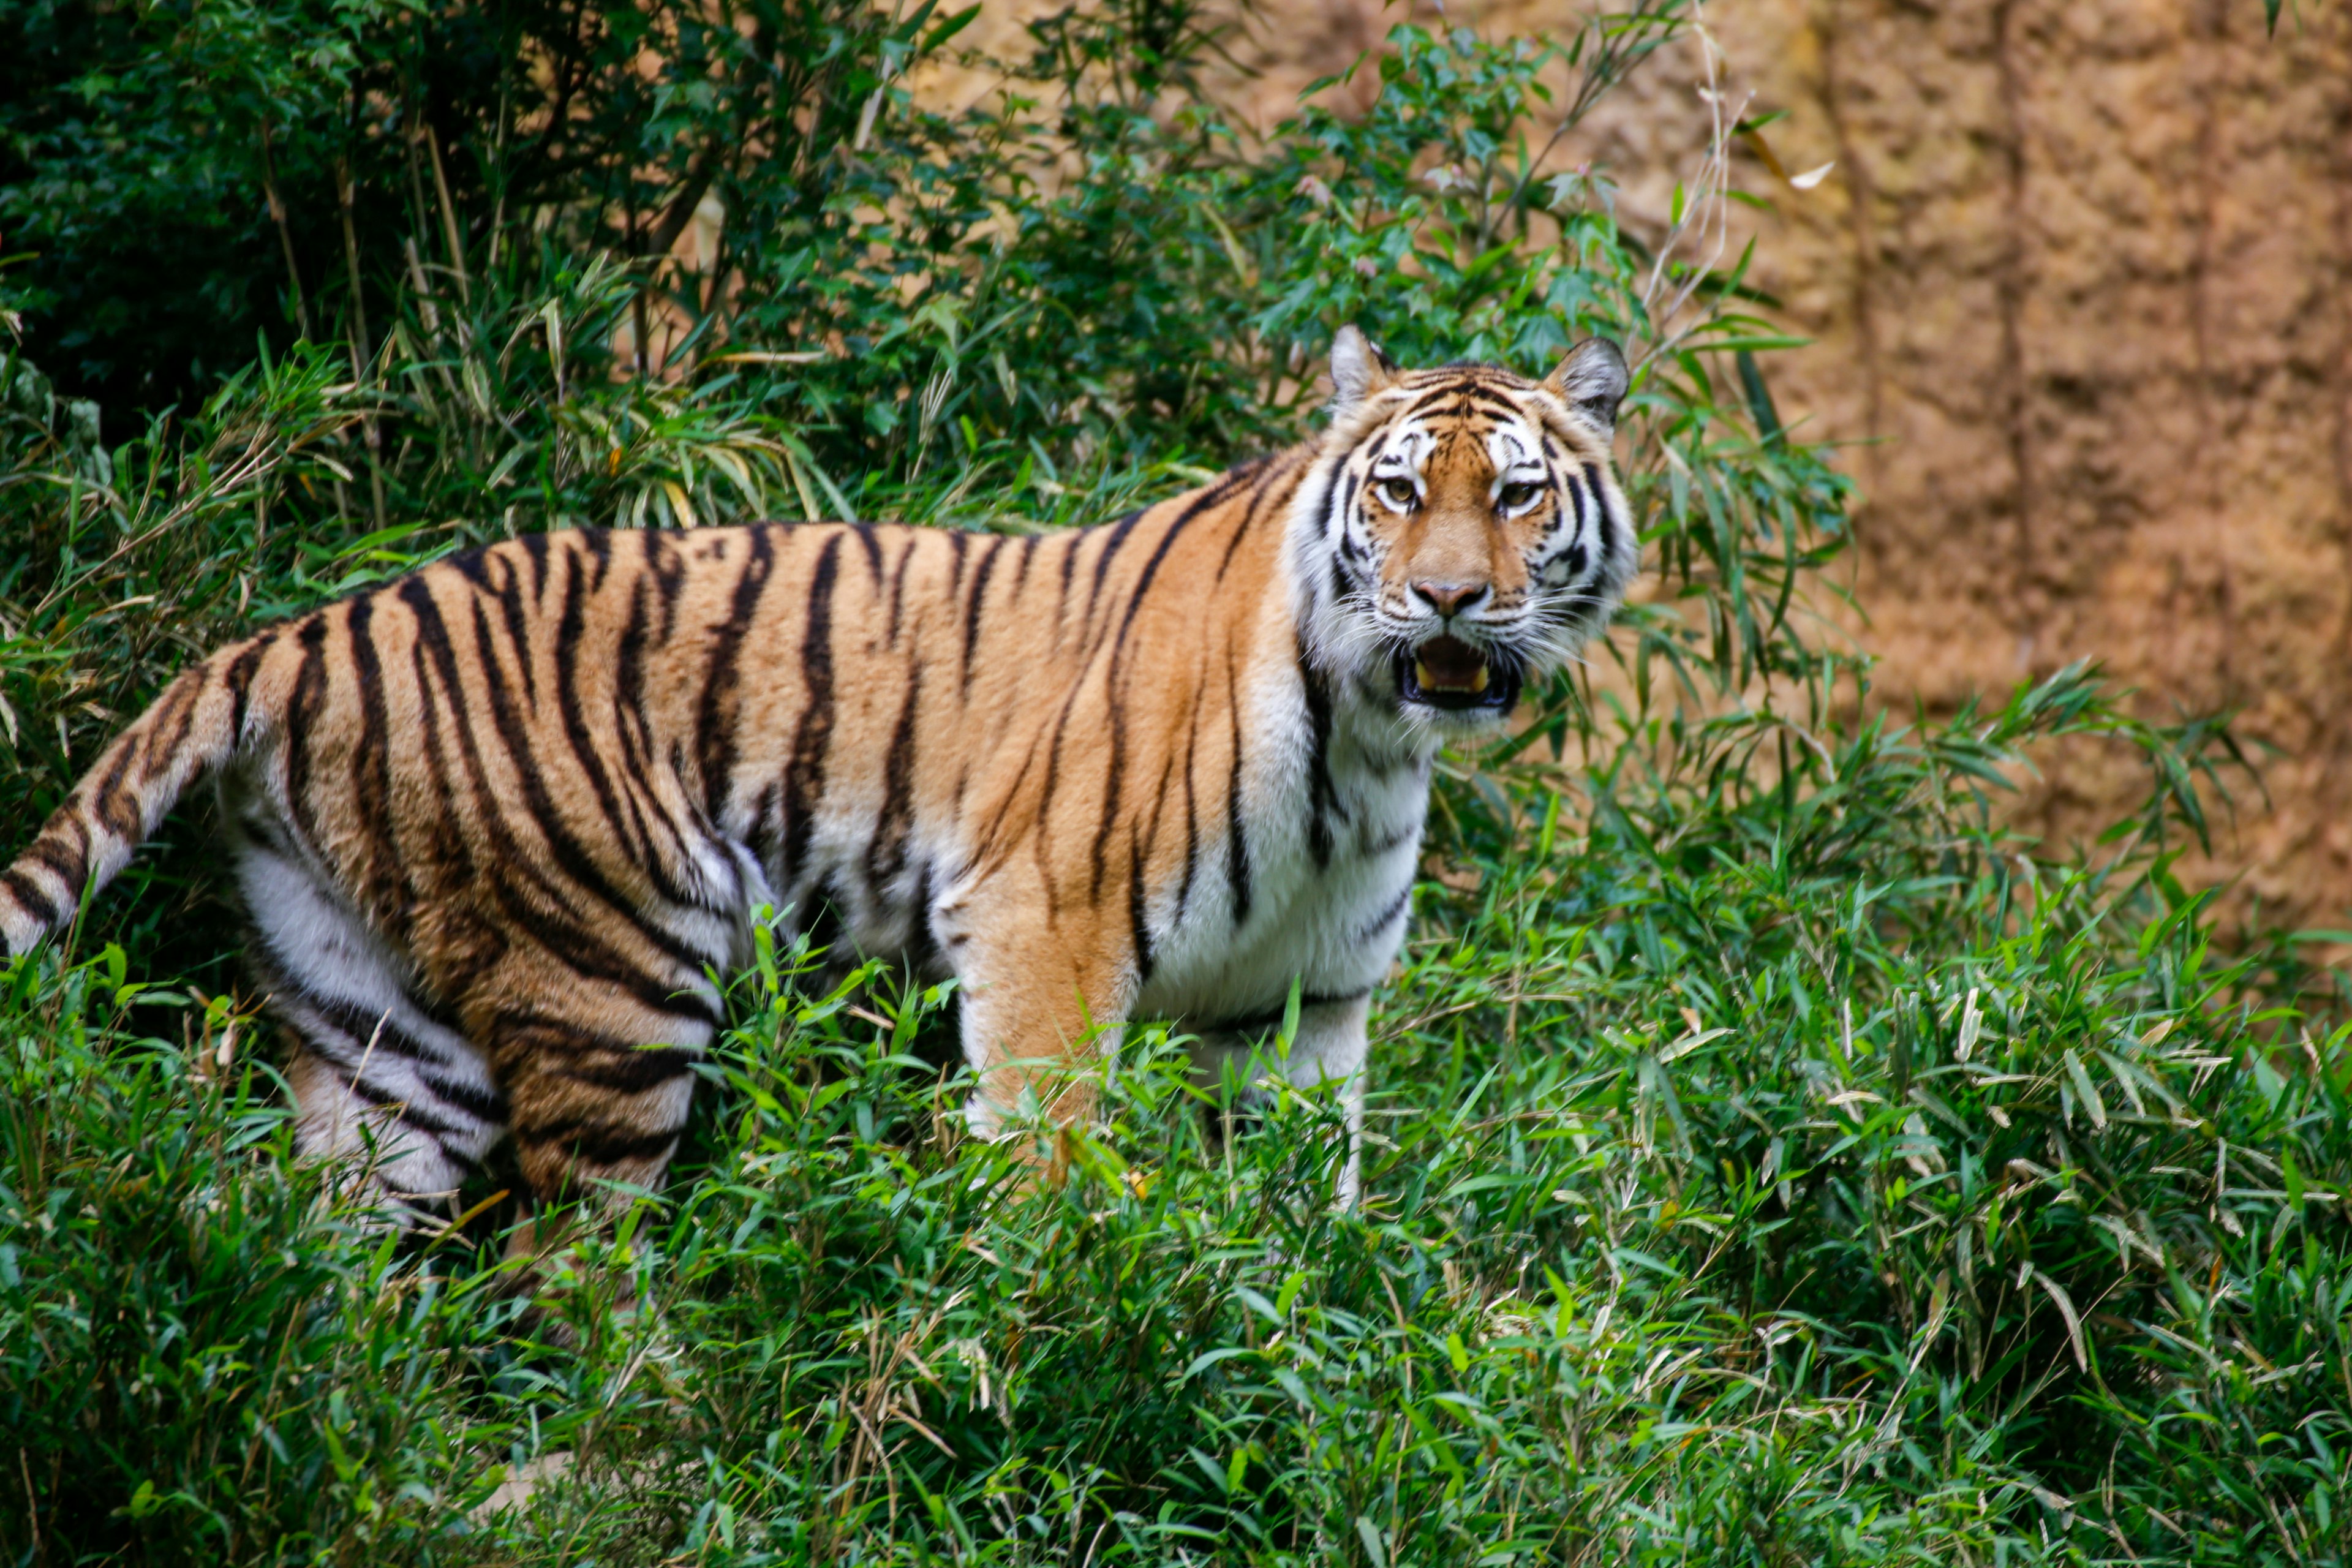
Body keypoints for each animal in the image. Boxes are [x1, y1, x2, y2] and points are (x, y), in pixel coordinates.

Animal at [0, 329, 1637, 1213]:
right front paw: (1045, 1344)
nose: (1445, 600)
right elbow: (1044, 1173)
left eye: (1514, 496)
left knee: (320, 1260)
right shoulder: (1044, 927)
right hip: (619, 967)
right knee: (573, 1261)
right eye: (1399, 491)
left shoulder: (1300, 1010)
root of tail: (294, 634)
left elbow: (1306, 1228)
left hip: (374, 1023)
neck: (1372, 736)